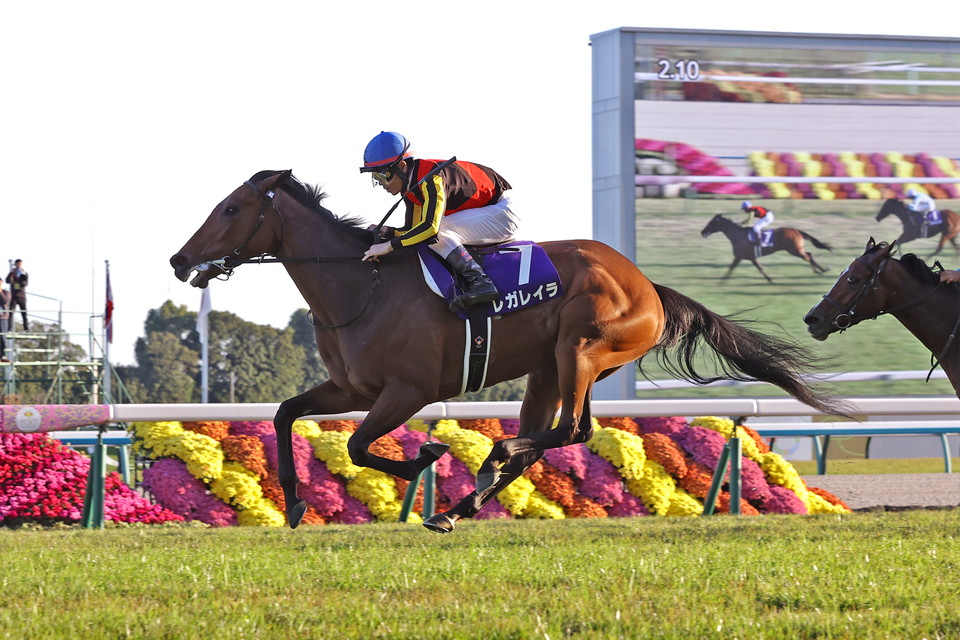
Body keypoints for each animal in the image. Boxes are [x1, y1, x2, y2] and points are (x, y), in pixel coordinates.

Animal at [700, 214, 832, 282]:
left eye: (711, 222)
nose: (702, 232)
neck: (738, 235)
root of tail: (796, 231)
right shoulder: (749, 257)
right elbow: (760, 268)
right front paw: (769, 279)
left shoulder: (740, 256)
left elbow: (731, 268)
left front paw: (721, 281)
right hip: (796, 249)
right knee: (809, 254)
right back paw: (820, 270)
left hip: (795, 250)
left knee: (807, 256)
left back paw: (820, 270)